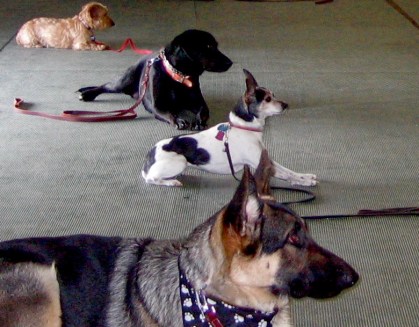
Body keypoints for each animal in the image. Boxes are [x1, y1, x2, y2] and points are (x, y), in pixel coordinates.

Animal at [76, 28, 233, 130]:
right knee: (105, 86)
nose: (230, 62)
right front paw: (179, 120)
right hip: (123, 82)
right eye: (208, 46)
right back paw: (87, 94)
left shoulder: (198, 101)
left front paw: (199, 121)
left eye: (215, 46)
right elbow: (169, 113)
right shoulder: (158, 105)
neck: (178, 76)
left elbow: (204, 110)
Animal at [143, 69, 316, 187]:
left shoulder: (267, 160)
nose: (286, 105)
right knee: (151, 179)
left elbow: (289, 171)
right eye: (267, 99)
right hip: (180, 161)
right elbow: (287, 175)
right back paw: (171, 182)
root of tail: (150, 154)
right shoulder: (262, 164)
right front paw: (305, 183)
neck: (245, 128)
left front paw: (305, 177)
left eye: (273, 95)